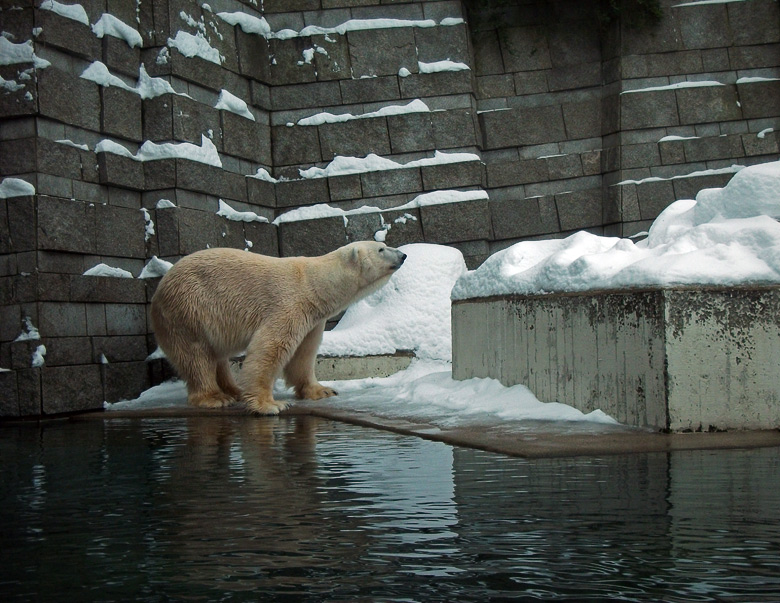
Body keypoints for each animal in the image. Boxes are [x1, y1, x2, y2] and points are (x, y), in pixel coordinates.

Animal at [152, 241, 408, 416]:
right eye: (381, 249)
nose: (404, 255)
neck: (313, 283)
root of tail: (158, 291)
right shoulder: (288, 305)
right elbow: (270, 348)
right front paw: (270, 404)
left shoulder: (313, 318)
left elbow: (303, 354)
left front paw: (322, 391)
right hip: (188, 310)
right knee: (196, 355)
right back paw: (215, 398)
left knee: (218, 356)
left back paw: (233, 391)